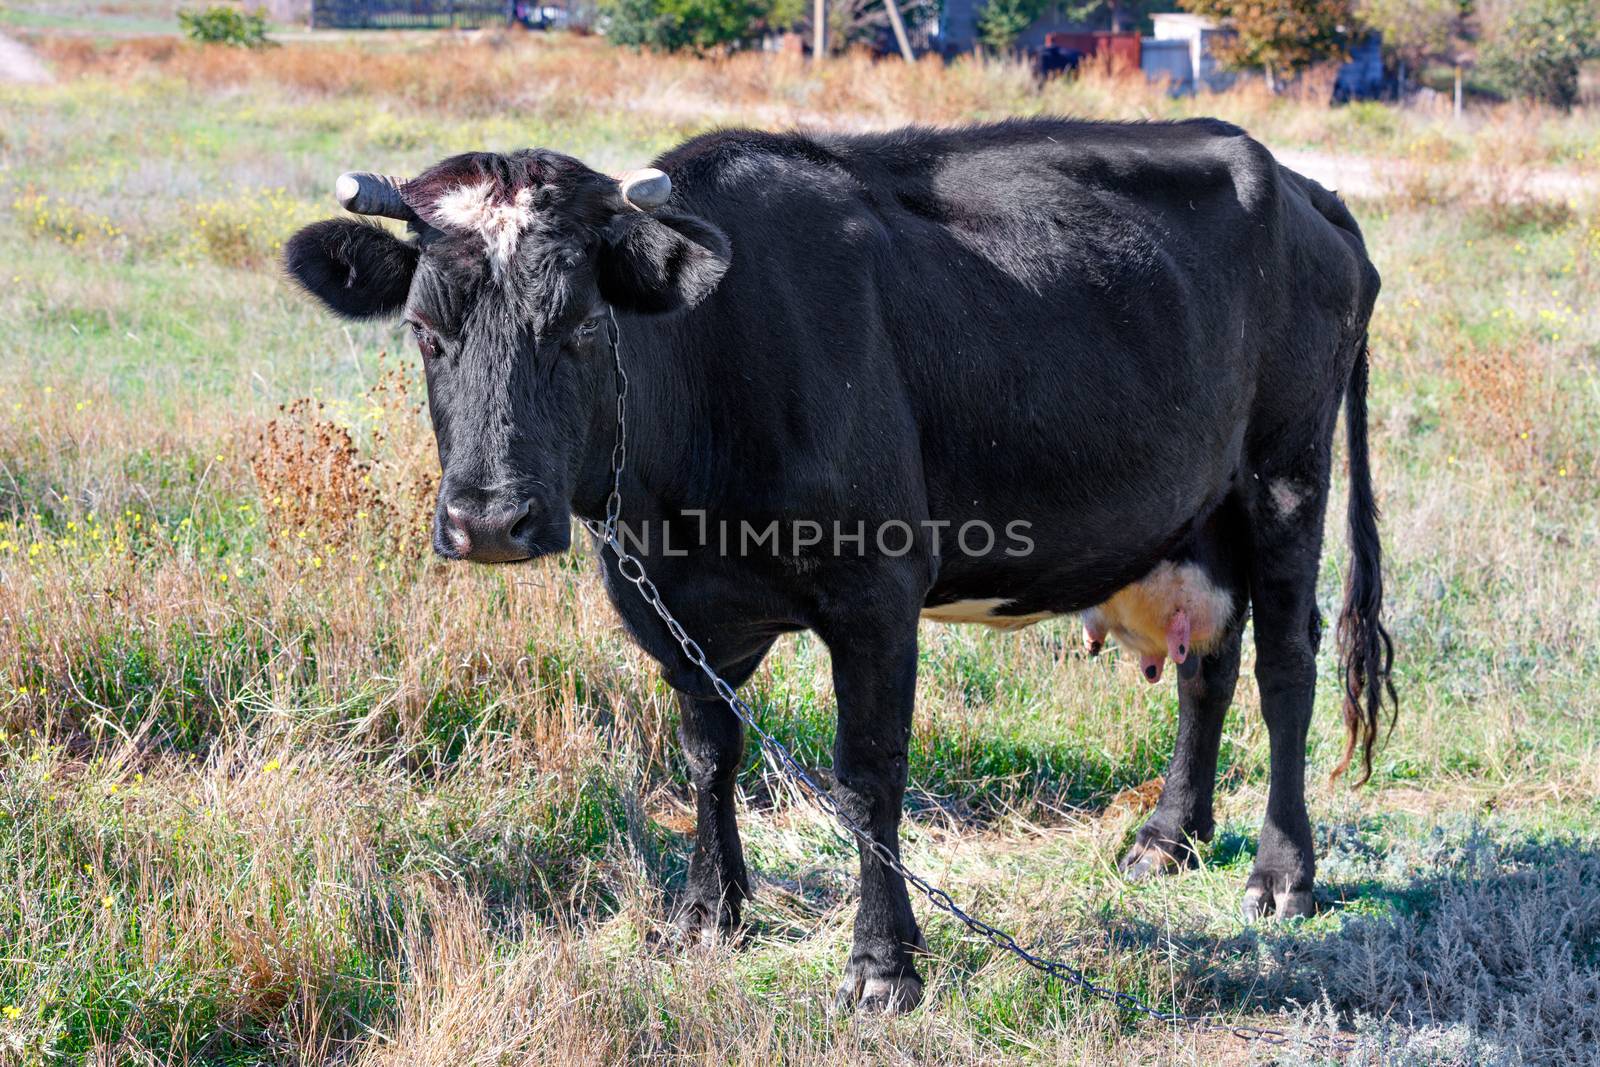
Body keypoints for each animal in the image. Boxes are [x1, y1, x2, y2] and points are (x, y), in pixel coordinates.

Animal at [284, 120, 1388, 1017]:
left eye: (584, 328)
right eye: (426, 331)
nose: (490, 520)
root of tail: (1302, 186)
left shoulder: (874, 598)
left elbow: (869, 778)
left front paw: (883, 964)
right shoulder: (666, 602)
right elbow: (709, 752)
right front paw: (708, 913)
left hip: (1285, 473)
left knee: (1284, 666)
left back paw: (1283, 875)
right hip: (1194, 512)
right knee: (1210, 662)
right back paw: (1169, 835)